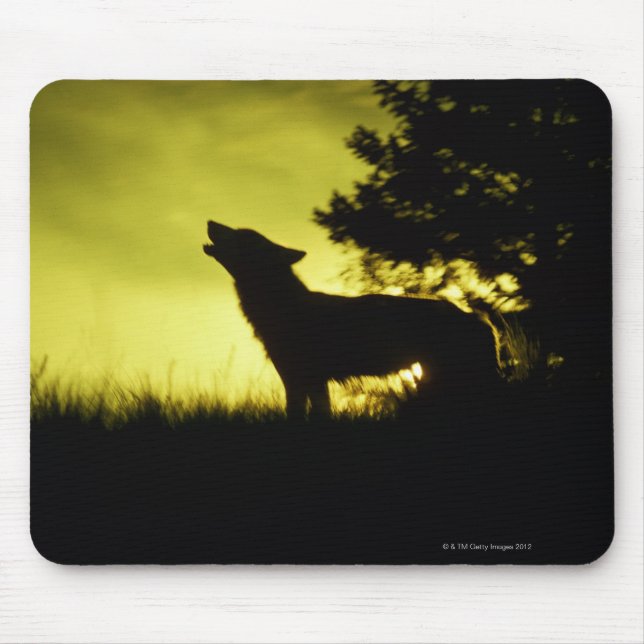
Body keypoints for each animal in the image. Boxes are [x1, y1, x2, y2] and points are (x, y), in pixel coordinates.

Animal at [203, 221, 498, 418]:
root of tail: (478, 319)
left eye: (241, 235)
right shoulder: (303, 382)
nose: (210, 222)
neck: (282, 307)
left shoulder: (305, 380)